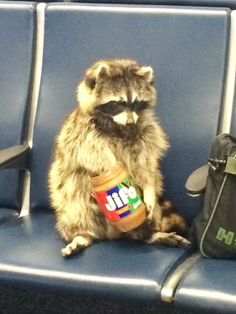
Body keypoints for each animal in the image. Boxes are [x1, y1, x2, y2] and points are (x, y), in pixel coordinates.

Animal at [48, 59, 190, 258]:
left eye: (137, 103)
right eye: (118, 103)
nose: (130, 122)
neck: (118, 125)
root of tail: (112, 235)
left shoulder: (146, 131)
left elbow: (147, 163)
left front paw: (147, 186)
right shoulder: (82, 132)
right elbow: (93, 158)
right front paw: (111, 174)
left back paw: (149, 234)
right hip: (71, 204)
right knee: (76, 206)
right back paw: (82, 235)